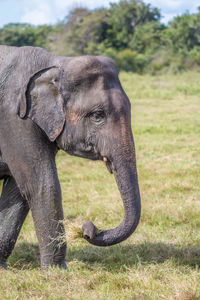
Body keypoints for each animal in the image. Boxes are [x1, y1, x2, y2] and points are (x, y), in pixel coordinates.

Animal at [0, 45, 141, 270]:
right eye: (98, 115)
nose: (88, 229)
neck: (56, 64)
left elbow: (18, 191)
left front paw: (3, 270)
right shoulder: (13, 119)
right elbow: (41, 185)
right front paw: (57, 271)